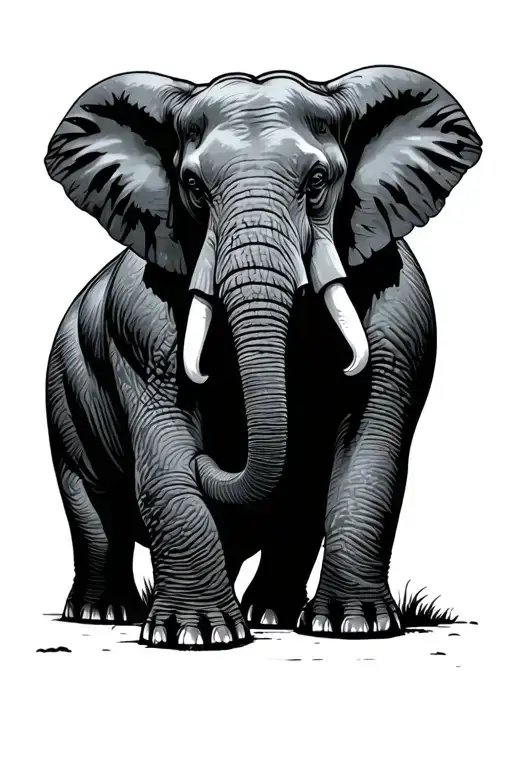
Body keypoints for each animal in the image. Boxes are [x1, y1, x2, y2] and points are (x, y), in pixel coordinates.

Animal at [44, 66, 481, 649]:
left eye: (317, 183)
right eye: (193, 186)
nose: (212, 459)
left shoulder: (402, 308)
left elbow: (369, 446)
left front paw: (355, 628)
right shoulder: (137, 319)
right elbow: (165, 445)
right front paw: (195, 637)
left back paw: (270, 616)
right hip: (63, 397)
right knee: (92, 509)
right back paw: (103, 613)